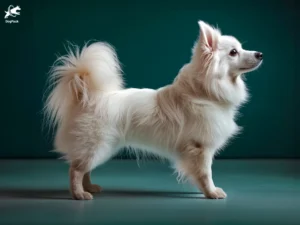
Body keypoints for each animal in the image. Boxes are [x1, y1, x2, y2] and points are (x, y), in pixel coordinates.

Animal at [44, 20, 262, 200]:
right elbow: (205, 173)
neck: (204, 93)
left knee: (84, 168)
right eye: (233, 52)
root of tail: (87, 96)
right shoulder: (200, 148)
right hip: (98, 145)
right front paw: (211, 192)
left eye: (241, 48)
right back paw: (79, 194)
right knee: (75, 169)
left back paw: (89, 187)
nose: (260, 54)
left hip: (100, 147)